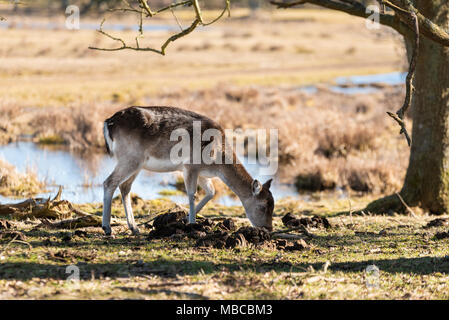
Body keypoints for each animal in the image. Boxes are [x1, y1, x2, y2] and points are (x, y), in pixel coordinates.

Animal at [101, 107, 272, 235]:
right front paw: (192, 223)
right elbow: (192, 194)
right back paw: (107, 228)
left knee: (124, 186)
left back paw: (134, 228)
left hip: (137, 164)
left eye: (272, 204)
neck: (217, 163)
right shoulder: (190, 166)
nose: (268, 228)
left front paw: (185, 219)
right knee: (109, 182)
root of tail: (108, 123)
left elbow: (211, 192)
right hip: (130, 158)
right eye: (262, 206)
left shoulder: (202, 173)